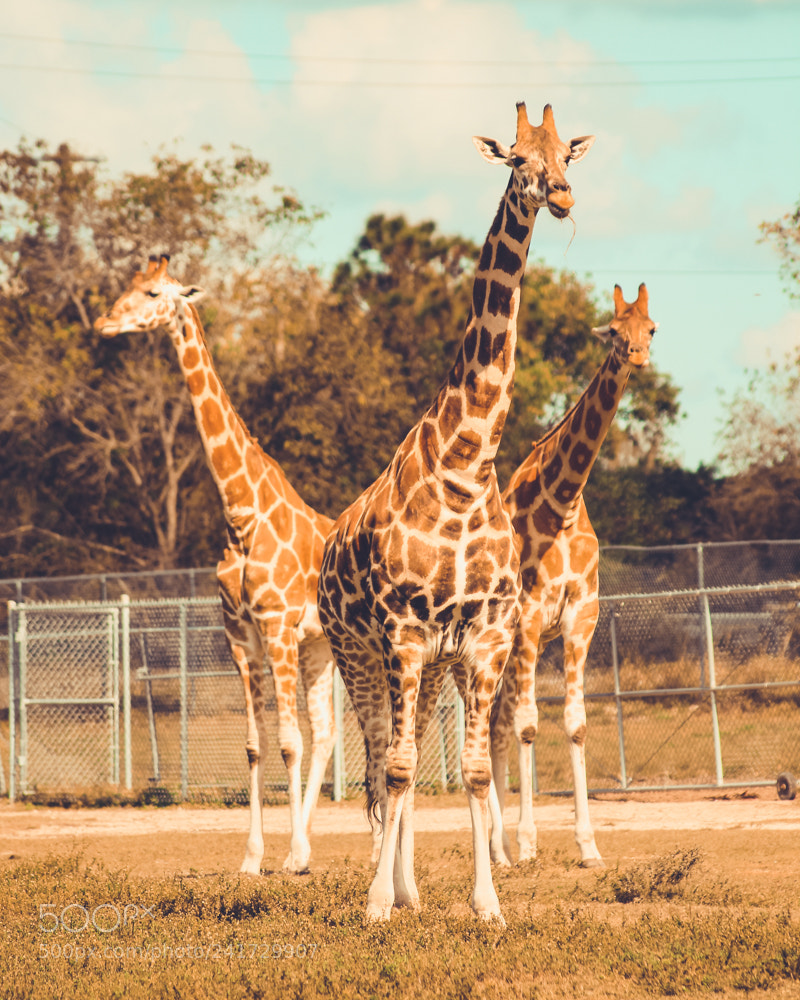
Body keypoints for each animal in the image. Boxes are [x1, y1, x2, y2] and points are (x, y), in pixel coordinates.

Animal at [93, 255, 338, 876]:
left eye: (152, 293)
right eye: (127, 285)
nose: (104, 323)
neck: (241, 513)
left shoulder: (275, 626)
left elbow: (289, 741)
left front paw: (290, 856)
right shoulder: (239, 633)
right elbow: (255, 745)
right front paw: (254, 858)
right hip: (320, 648)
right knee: (329, 733)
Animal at [316, 103, 595, 923]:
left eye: (567, 154)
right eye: (516, 159)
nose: (561, 196)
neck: (468, 466)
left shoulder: (484, 638)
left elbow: (470, 770)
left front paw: (487, 904)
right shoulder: (403, 634)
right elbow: (400, 769)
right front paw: (376, 905)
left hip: (430, 665)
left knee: (402, 763)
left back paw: (411, 889)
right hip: (357, 653)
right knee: (382, 763)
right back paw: (386, 888)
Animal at [489, 282, 657, 868]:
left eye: (651, 327)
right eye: (614, 330)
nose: (638, 356)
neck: (560, 503)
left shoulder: (580, 618)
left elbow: (576, 724)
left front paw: (588, 846)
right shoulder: (529, 619)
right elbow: (529, 725)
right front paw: (528, 843)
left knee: (494, 725)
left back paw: (496, 850)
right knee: (490, 722)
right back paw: (500, 847)